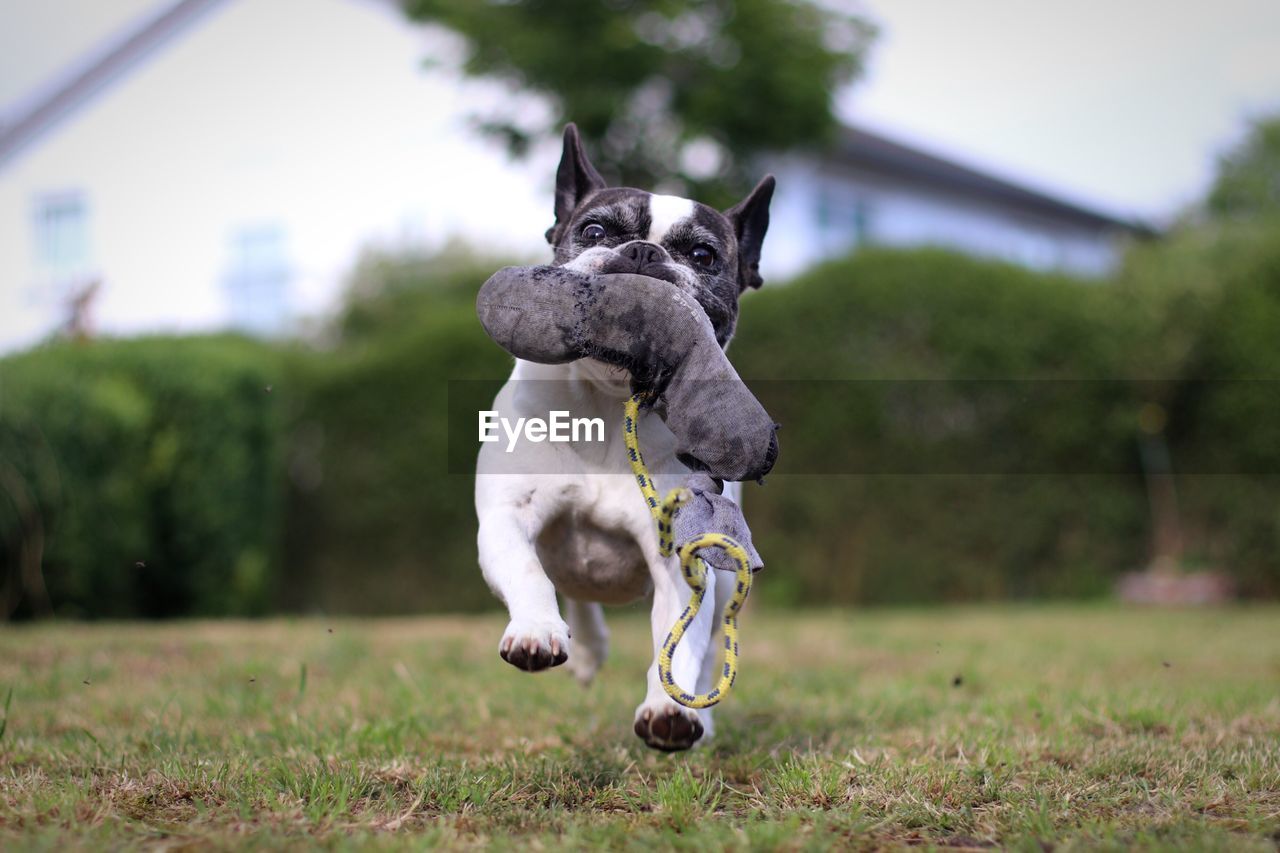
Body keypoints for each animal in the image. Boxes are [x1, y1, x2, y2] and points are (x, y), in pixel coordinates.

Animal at [471, 122, 768, 747]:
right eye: (594, 230)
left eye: (702, 255)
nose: (643, 251)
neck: (609, 405)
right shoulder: (507, 518)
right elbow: (528, 573)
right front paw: (536, 631)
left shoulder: (684, 561)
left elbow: (677, 644)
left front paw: (670, 710)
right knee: (573, 590)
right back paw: (584, 647)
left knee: (708, 648)